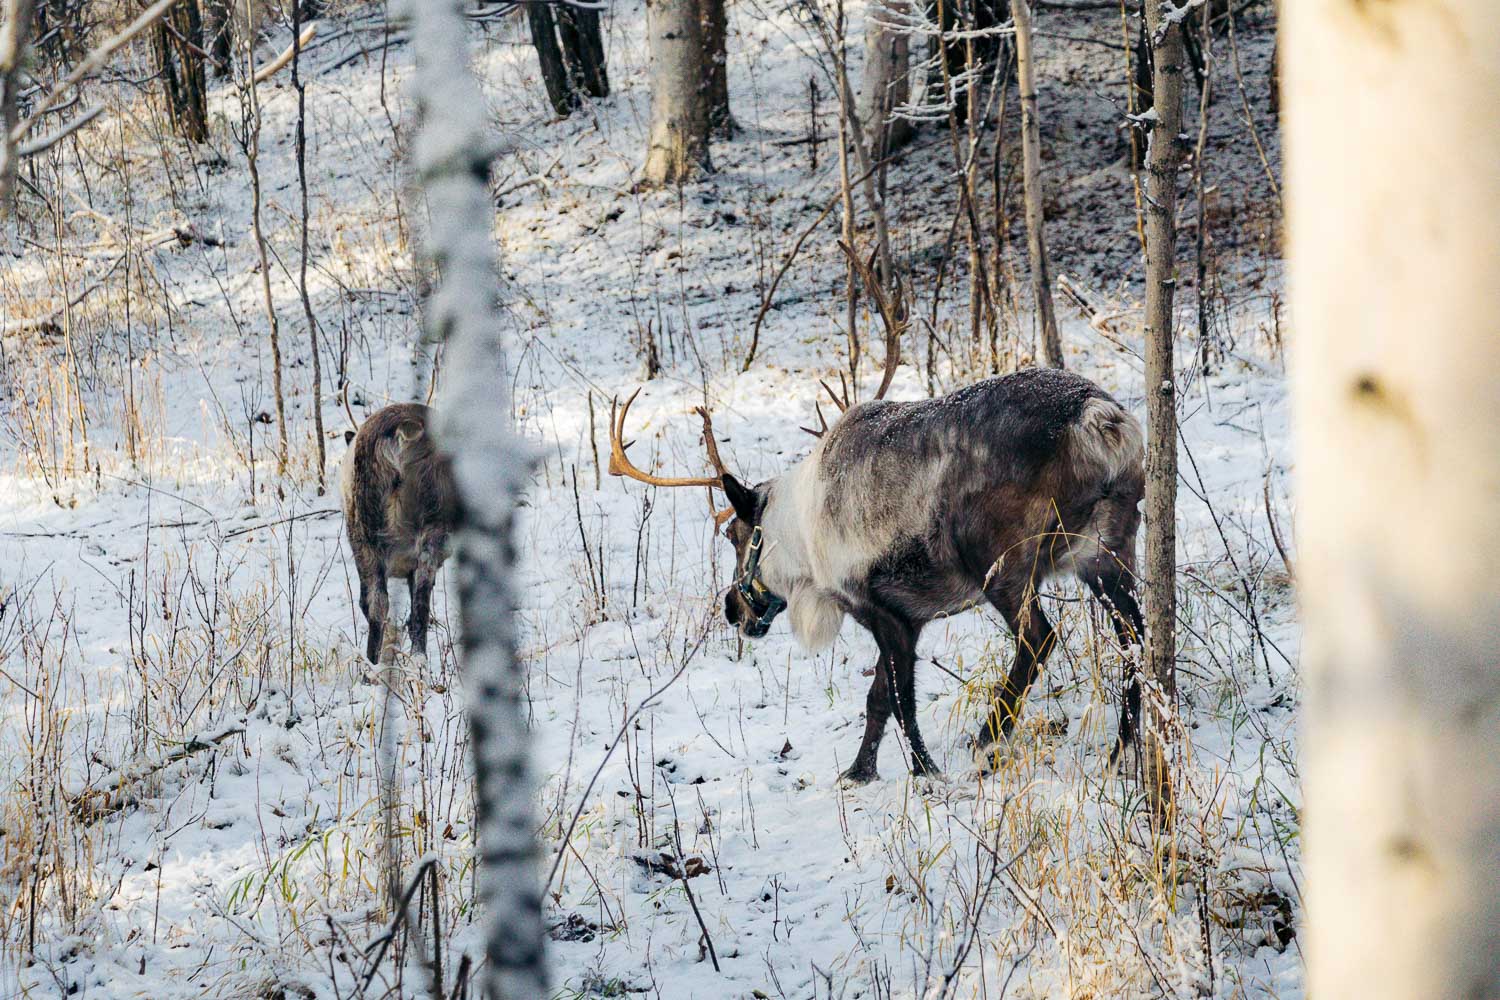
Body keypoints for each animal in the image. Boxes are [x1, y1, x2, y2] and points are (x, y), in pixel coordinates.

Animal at [340, 402, 458, 665]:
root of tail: (403, 434)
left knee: (376, 603)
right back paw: (417, 661)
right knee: (419, 605)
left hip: (363, 535)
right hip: (432, 525)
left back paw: (373, 665)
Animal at [607, 271, 1145, 783]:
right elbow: (880, 698)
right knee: (1135, 638)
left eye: (732, 536)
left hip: (1003, 564)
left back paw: (987, 740)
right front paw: (861, 771)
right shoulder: (910, 619)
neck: (801, 539)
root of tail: (1099, 420)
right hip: (1108, 550)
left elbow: (900, 700)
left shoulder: (875, 606)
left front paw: (924, 771)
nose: (731, 609)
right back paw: (1120, 751)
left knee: (1039, 639)